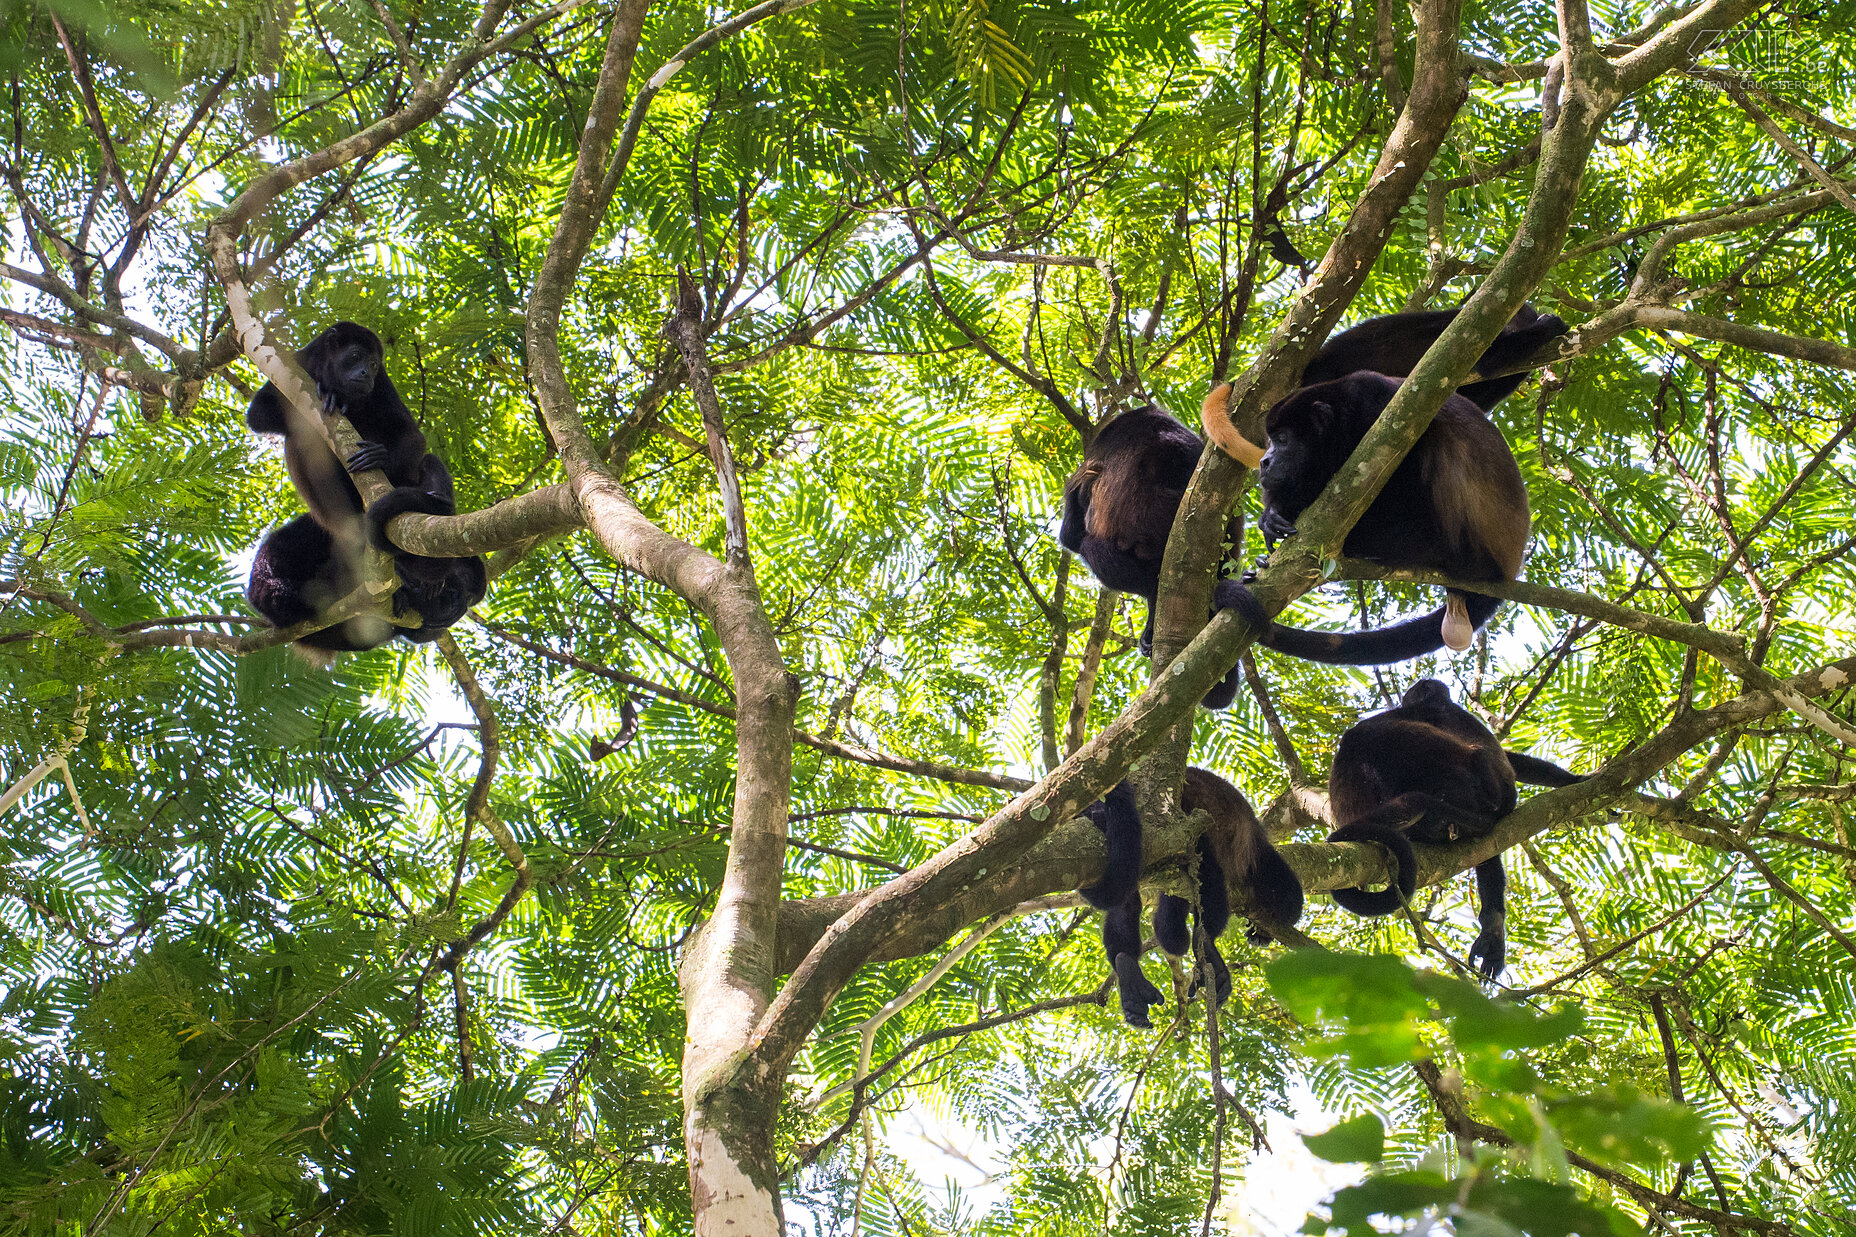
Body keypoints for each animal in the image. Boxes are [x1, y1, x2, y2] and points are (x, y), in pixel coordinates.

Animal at [244, 323, 486, 661]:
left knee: (427, 462)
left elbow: (412, 436)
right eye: (355, 356)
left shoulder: (382, 383)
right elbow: (260, 412)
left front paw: (379, 457)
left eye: (372, 364)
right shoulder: (298, 363)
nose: (363, 373)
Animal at [1076, 772, 1306, 1017]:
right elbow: (1288, 903)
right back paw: (1205, 942)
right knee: (1214, 872)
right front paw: (1261, 930)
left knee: (1130, 903)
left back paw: (1126, 966)